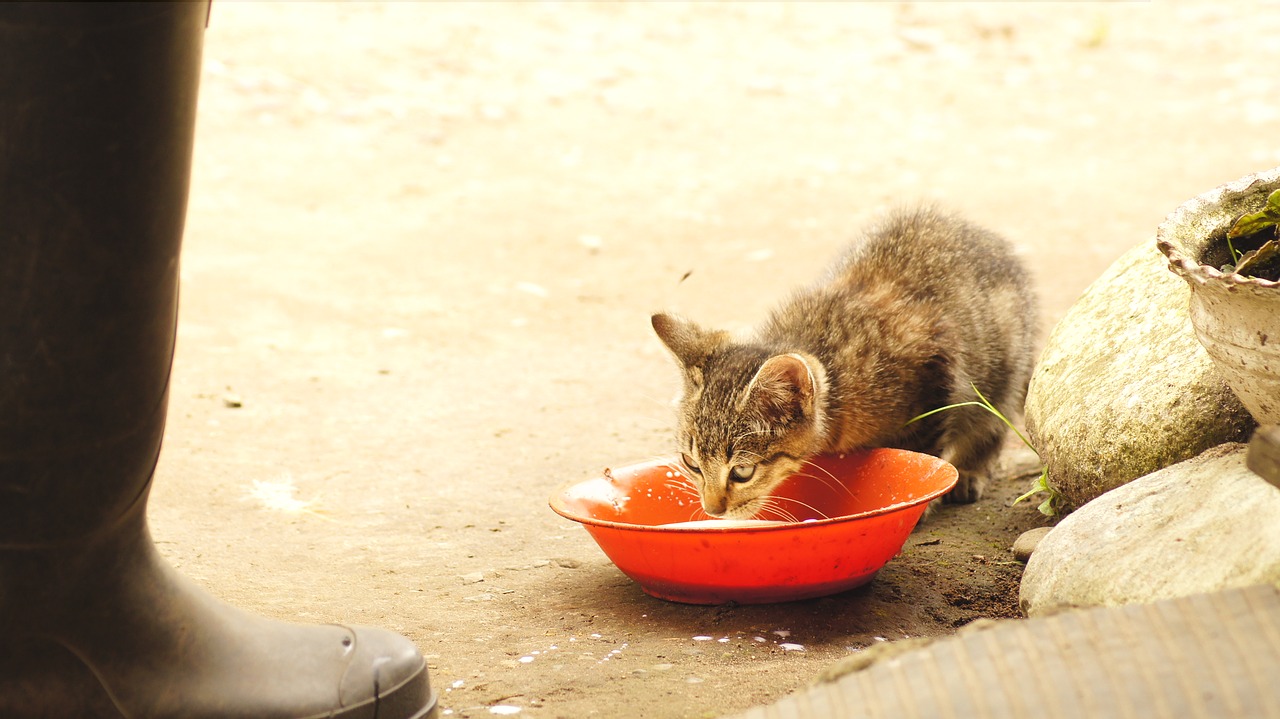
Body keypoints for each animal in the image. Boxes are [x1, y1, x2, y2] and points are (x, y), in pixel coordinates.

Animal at [655, 205, 1034, 514]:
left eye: (742, 472)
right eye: (691, 463)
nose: (712, 510)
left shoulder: (934, 372)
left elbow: (923, 450)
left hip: (1004, 365)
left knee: (992, 420)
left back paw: (971, 469)